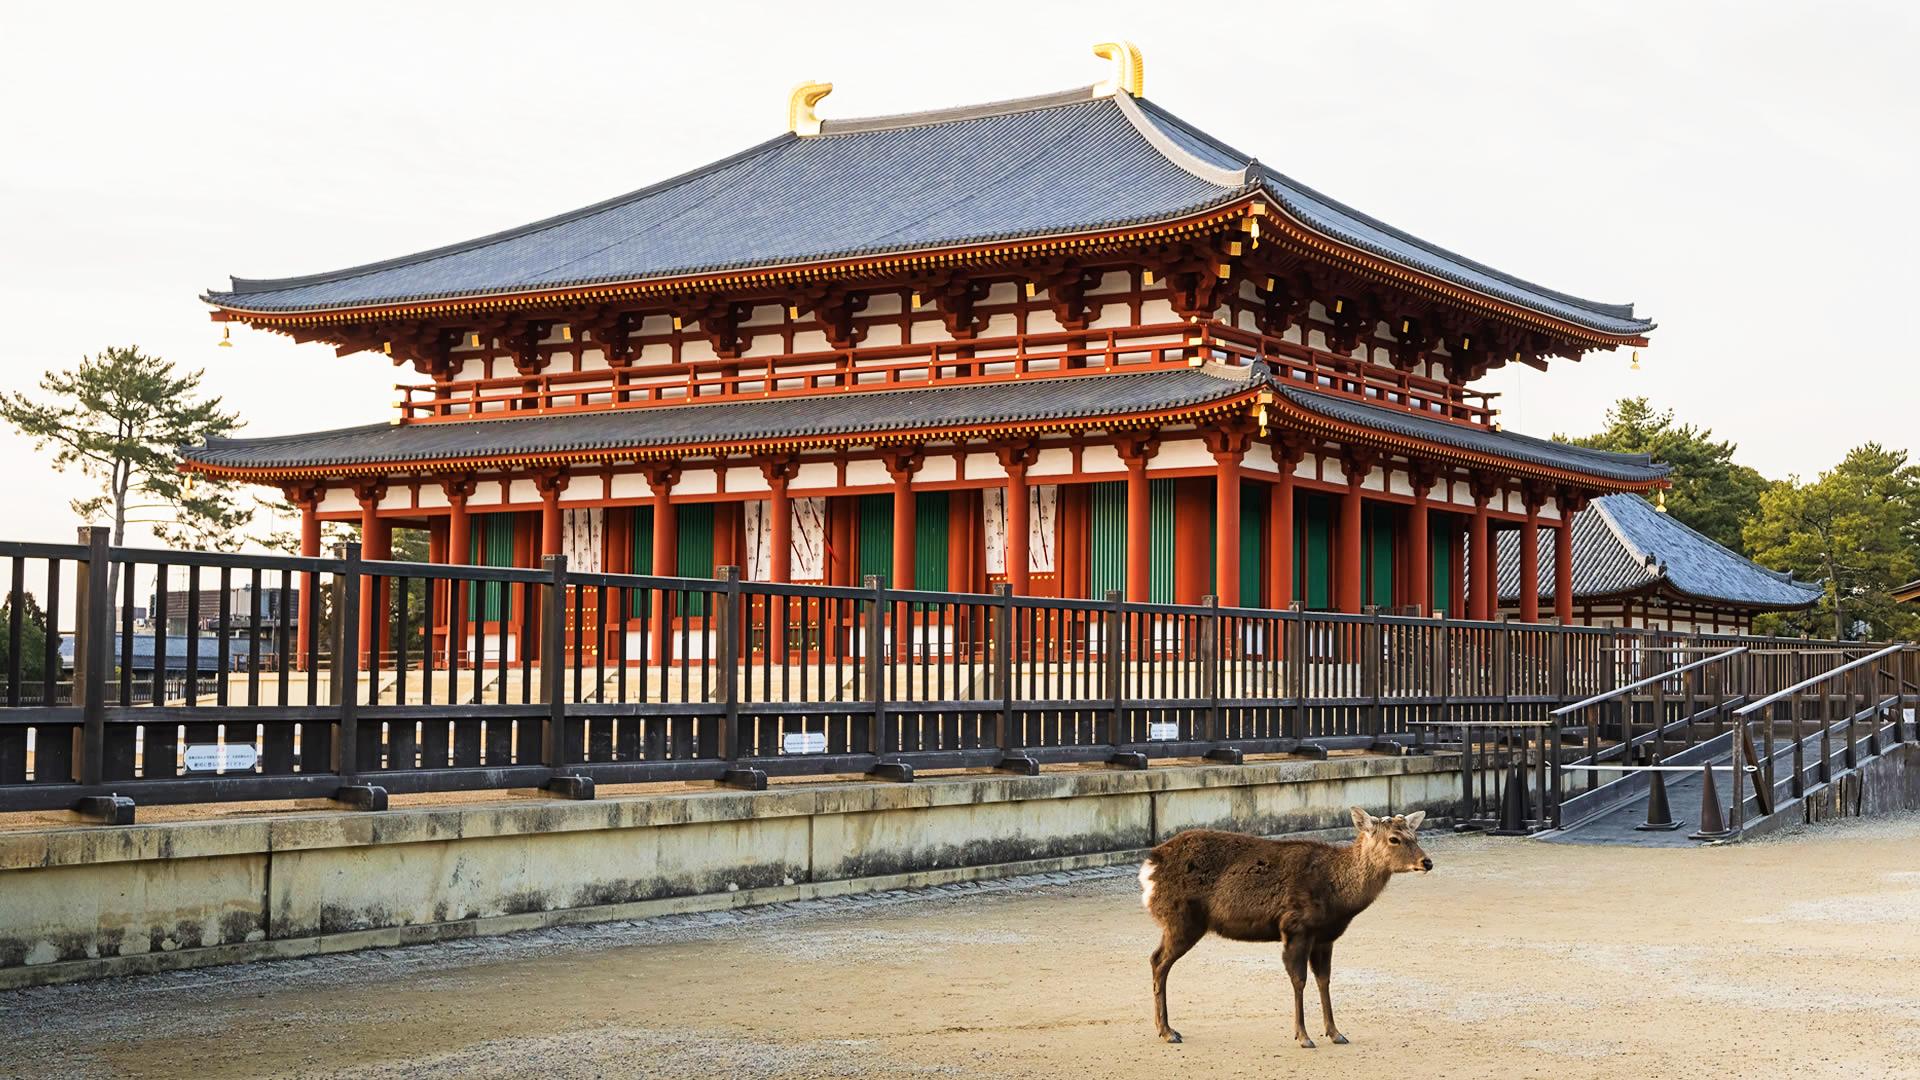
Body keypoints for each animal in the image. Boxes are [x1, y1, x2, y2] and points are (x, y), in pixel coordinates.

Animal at [1138, 807, 1432, 1047]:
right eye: (1394, 838)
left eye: (1415, 836)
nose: (1427, 862)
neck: (1338, 898)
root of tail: (1149, 867)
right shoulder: (1295, 926)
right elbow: (1299, 980)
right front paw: (1303, 1036)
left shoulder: (1325, 937)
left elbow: (1324, 980)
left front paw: (1336, 1033)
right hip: (1182, 920)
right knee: (1159, 961)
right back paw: (1168, 1031)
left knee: (1155, 959)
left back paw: (1165, 1028)